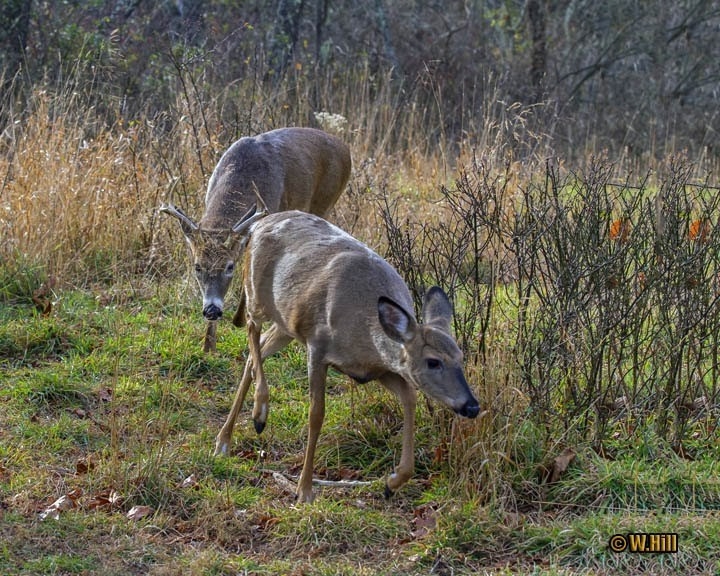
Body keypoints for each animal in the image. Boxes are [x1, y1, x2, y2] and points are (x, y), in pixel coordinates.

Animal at [160, 127, 352, 352]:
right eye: (197, 267)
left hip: (325, 202)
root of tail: (344, 147)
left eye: (230, 267)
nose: (212, 311)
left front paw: (240, 320)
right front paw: (208, 344)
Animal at [215, 209, 484, 502]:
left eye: (461, 356)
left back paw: (227, 438)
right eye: (433, 361)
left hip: (286, 324)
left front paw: (393, 482)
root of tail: (261, 223)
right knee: (251, 331)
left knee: (257, 352)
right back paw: (256, 415)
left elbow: (410, 398)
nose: (471, 406)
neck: (362, 331)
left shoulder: (377, 370)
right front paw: (304, 489)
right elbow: (316, 414)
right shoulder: (317, 346)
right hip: (255, 294)